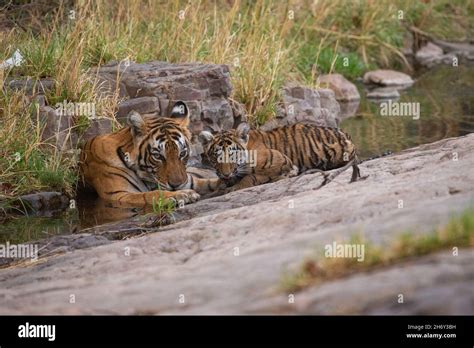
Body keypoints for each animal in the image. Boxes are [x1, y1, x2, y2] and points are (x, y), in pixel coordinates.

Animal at [80, 102, 221, 208]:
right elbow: (150, 194)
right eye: (158, 156)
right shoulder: (118, 195)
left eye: (182, 153)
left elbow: (207, 182)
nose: (177, 185)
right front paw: (181, 195)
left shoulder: (190, 179)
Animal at [199, 122, 360, 193]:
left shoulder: (279, 160)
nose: (226, 174)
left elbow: (251, 177)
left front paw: (233, 187)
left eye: (233, 155)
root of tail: (346, 134)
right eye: (216, 157)